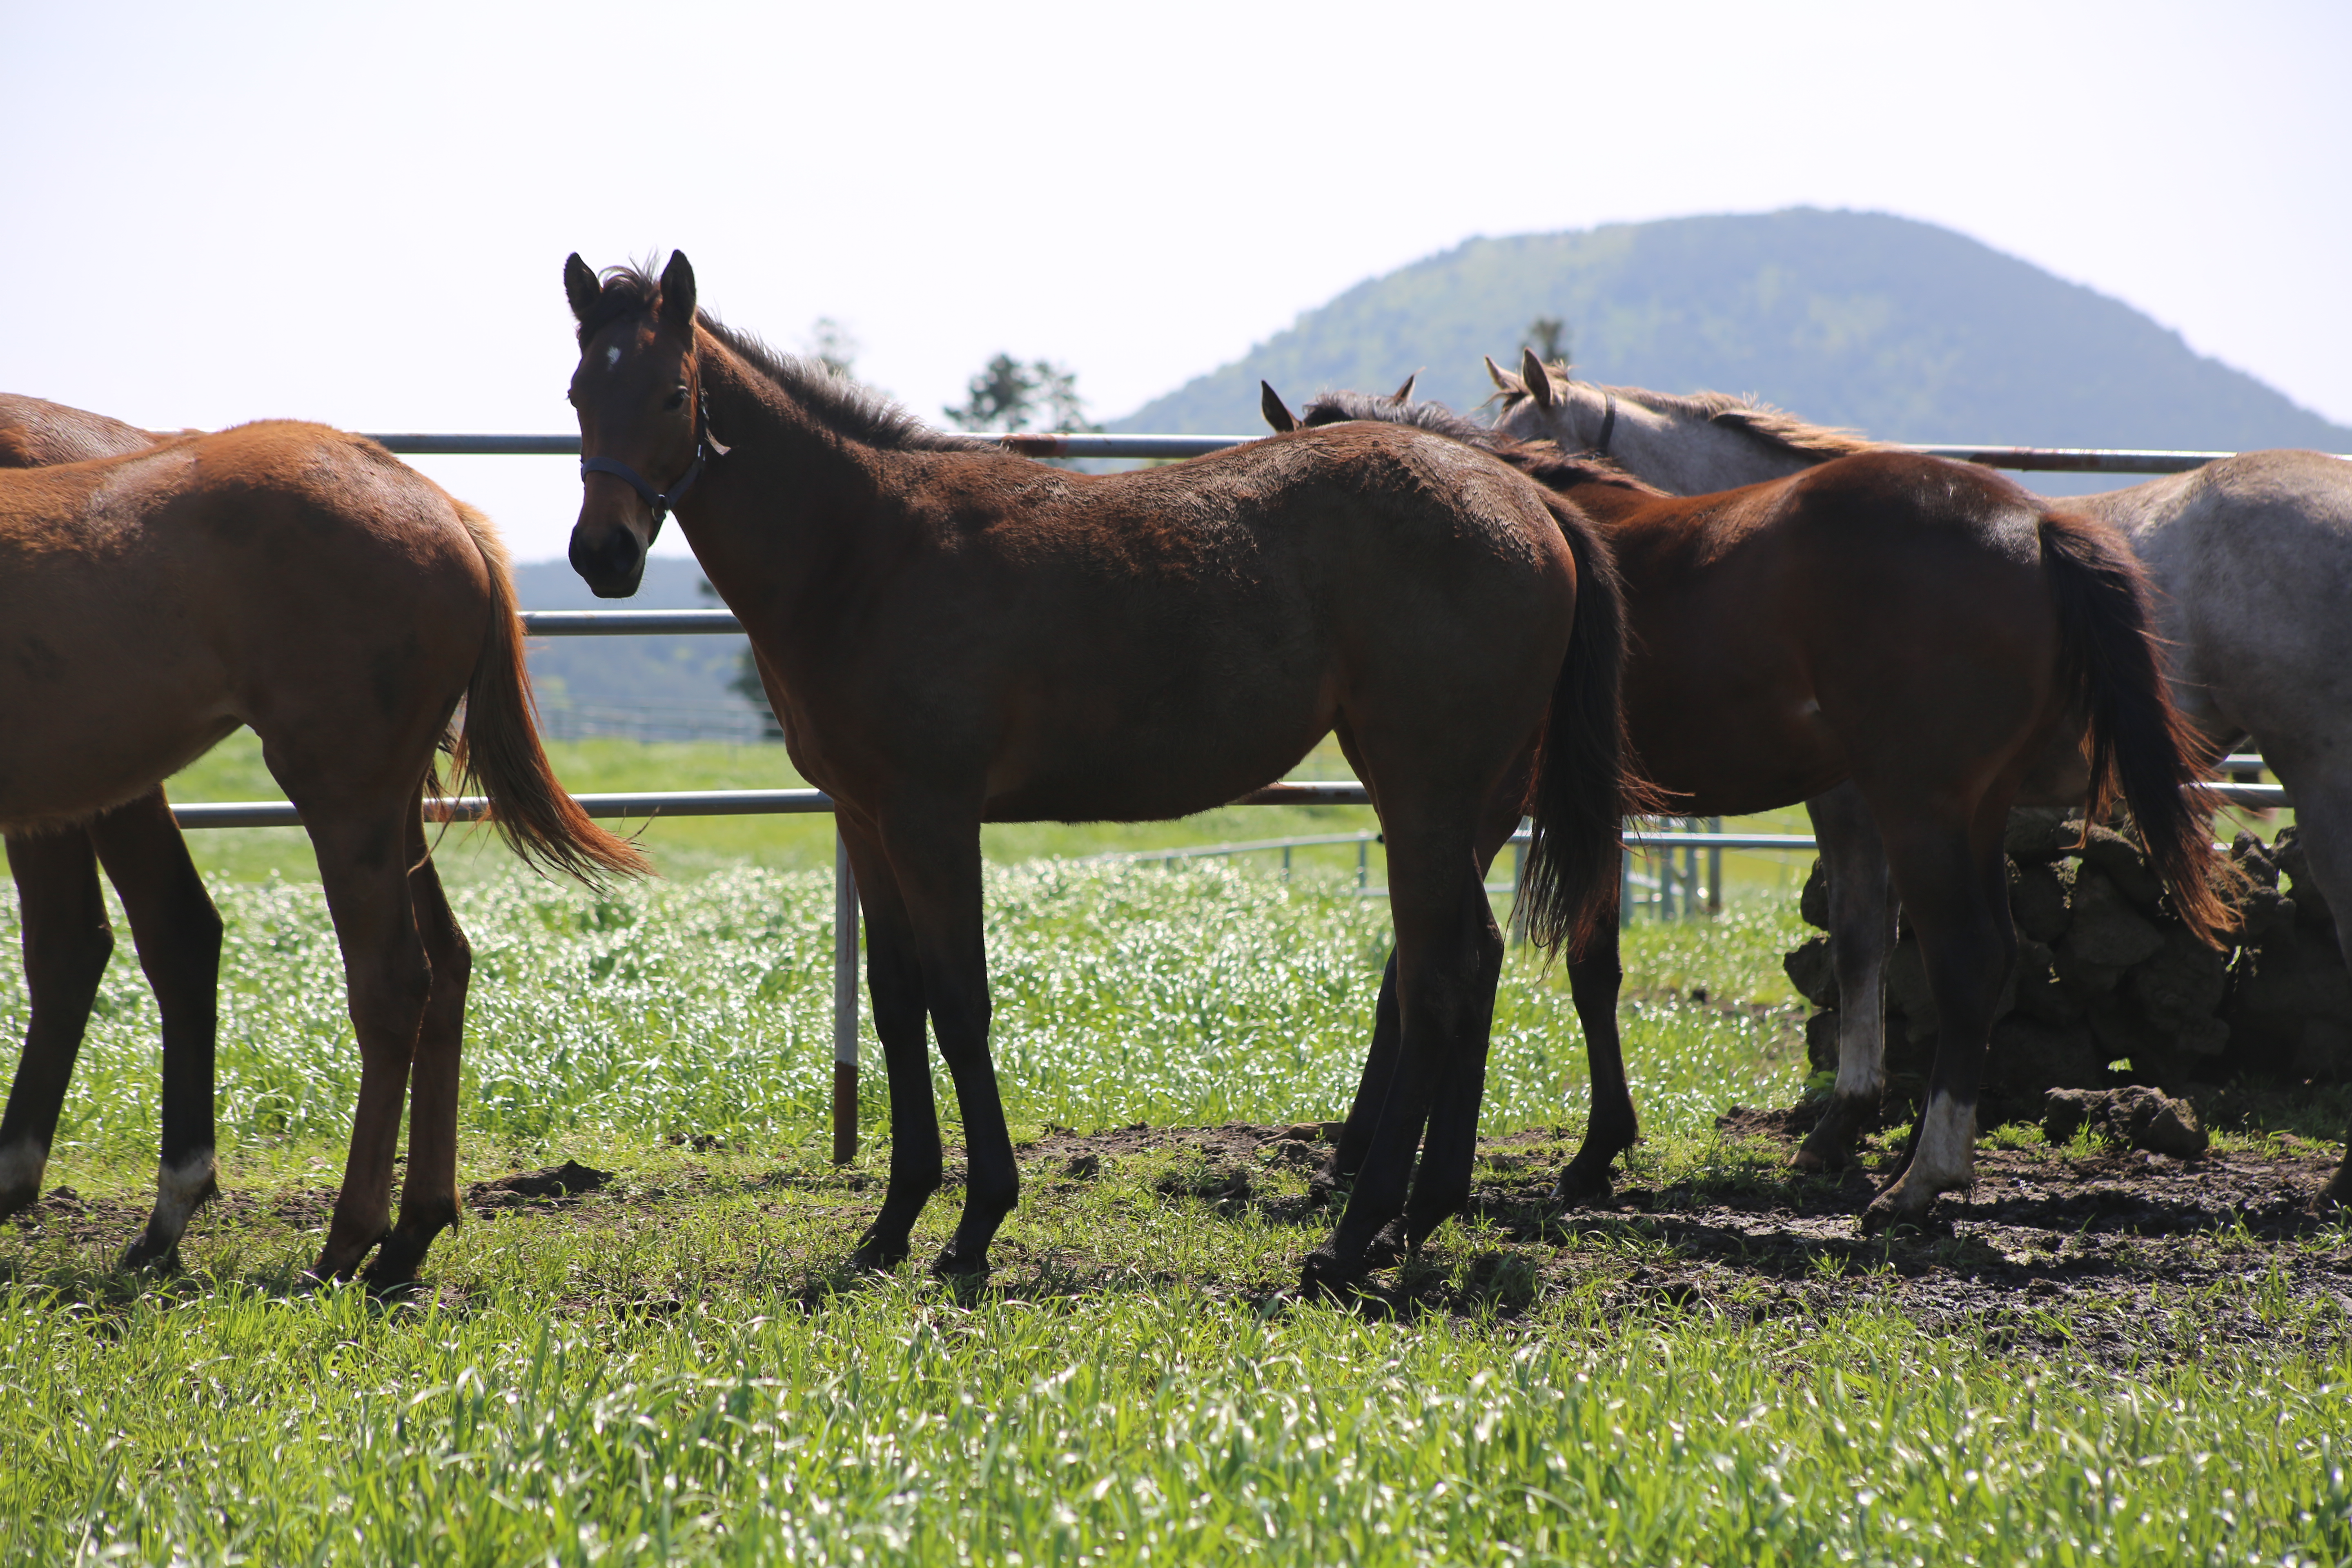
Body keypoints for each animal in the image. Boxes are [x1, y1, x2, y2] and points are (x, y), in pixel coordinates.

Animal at [0, 399, 649, 1278]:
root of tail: (445, 510)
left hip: (337, 797)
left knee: (388, 983)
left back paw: (344, 1235)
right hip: (385, 809)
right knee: (445, 963)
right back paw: (410, 1230)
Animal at [562, 255, 1646, 1288]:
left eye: (672, 392)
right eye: (577, 390)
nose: (602, 553)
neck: (865, 548)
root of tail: (1529, 500)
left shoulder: (932, 816)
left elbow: (959, 1002)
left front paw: (975, 1224)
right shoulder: (866, 819)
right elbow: (897, 1002)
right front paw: (892, 1223)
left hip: (1424, 791)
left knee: (1432, 978)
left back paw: (1352, 1240)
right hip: (1458, 798)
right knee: (1473, 962)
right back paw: (1418, 1215)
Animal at [1261, 376, 2230, 1222]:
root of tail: (2033, 522)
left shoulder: (1490, 800)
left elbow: (1421, 966)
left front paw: (1366, 1152)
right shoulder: (1589, 812)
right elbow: (1594, 969)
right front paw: (1598, 1149)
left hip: (1920, 805)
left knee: (1964, 961)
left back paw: (1918, 1183)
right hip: (1973, 810)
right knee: (1986, 966)